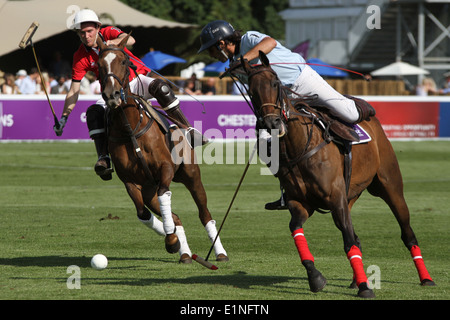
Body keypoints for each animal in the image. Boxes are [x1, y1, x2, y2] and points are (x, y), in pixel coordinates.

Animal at [95, 35, 229, 262]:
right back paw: (184, 253)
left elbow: (165, 194)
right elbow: (143, 214)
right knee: (174, 216)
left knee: (205, 214)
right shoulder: (130, 181)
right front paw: (172, 241)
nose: (112, 95)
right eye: (99, 65)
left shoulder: (164, 168)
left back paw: (220, 253)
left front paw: (172, 240)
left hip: (191, 176)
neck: (130, 128)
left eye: (124, 61)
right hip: (149, 188)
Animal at [237, 51, 434, 298]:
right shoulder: (301, 202)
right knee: (354, 234)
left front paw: (365, 288)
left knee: (406, 233)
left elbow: (348, 241)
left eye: (275, 83)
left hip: (390, 187)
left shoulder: (335, 198)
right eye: (251, 90)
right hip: (349, 196)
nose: (272, 122)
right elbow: (296, 229)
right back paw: (355, 280)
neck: (300, 145)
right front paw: (316, 278)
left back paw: (425, 278)